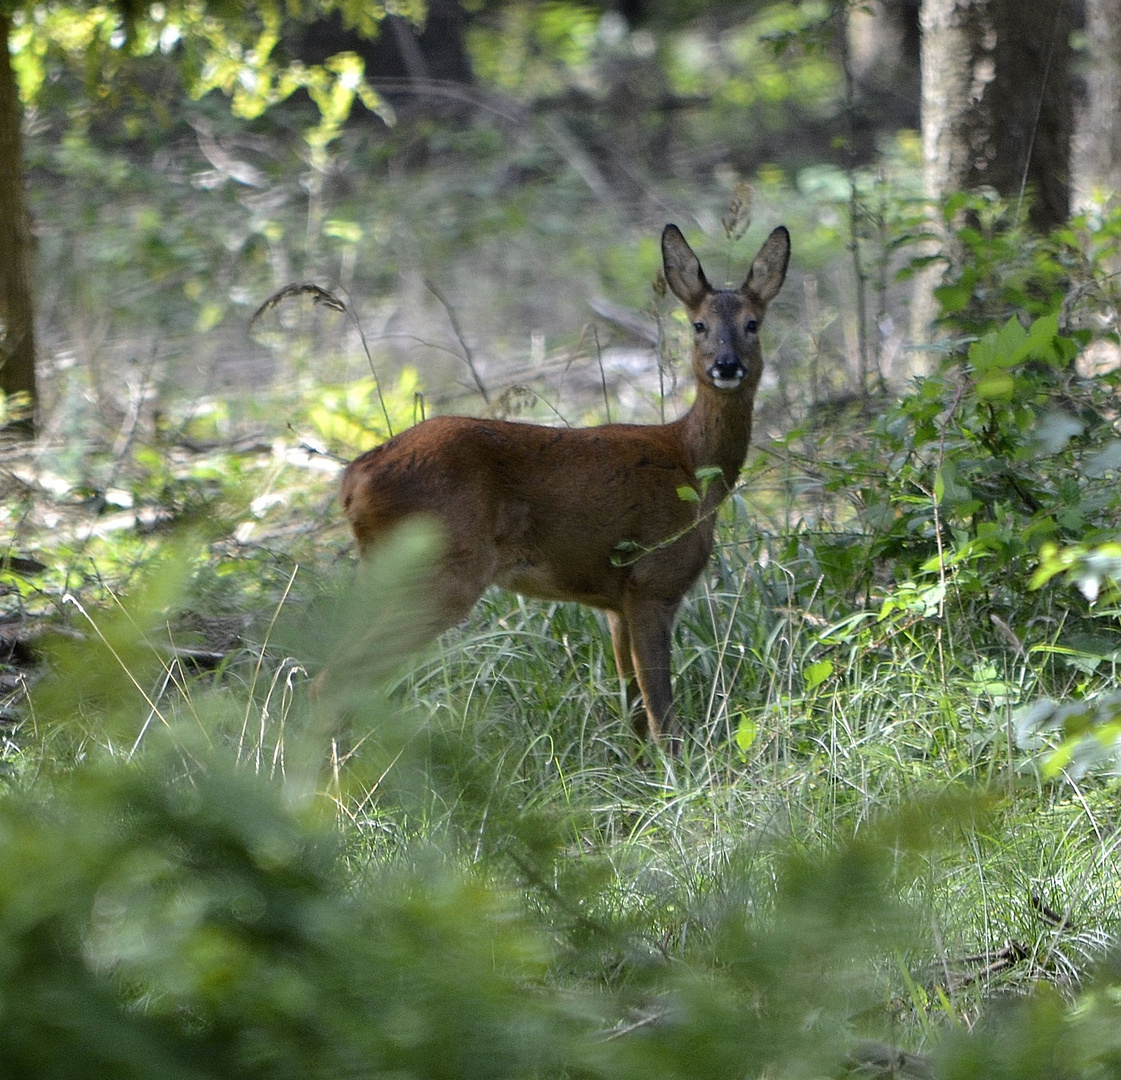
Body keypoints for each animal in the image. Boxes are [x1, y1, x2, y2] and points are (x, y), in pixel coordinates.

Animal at [340, 225, 789, 753]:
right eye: (698, 325)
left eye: (753, 323)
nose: (726, 365)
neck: (690, 462)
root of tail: (353, 480)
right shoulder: (652, 579)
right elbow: (662, 711)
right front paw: (678, 769)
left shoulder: (616, 600)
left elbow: (634, 709)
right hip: (436, 573)